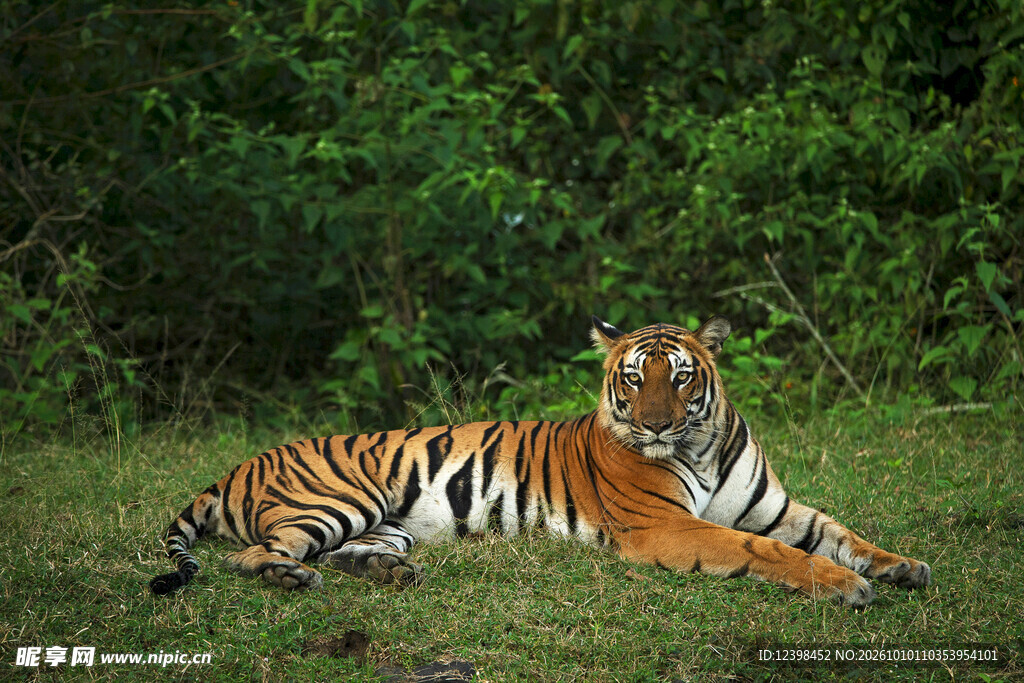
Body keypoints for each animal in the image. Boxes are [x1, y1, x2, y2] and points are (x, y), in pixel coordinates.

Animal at [150, 315, 931, 607]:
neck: (699, 442)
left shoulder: (777, 507)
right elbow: (762, 550)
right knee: (247, 554)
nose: (654, 423)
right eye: (631, 378)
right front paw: (847, 586)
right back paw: (288, 575)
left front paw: (902, 567)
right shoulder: (665, 527)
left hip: (387, 524)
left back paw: (391, 574)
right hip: (337, 499)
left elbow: (840, 532)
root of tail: (235, 467)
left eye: (681, 377)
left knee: (349, 553)